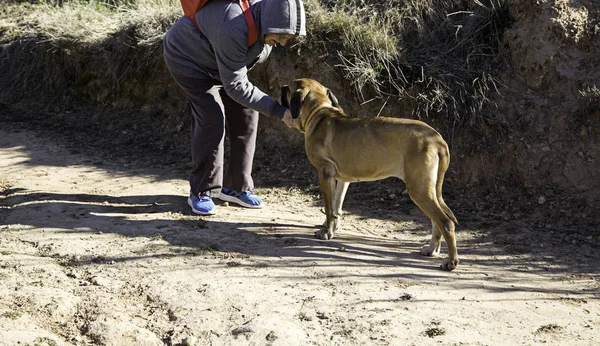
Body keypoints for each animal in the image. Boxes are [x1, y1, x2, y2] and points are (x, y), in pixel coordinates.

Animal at [282, 77, 460, 270]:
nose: (282, 86)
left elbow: (329, 208)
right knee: (438, 220)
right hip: (430, 189)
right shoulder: (343, 179)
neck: (319, 112)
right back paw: (431, 249)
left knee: (446, 222)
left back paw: (451, 261)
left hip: (419, 189)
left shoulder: (325, 173)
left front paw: (326, 231)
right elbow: (337, 205)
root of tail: (438, 140)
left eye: (289, 88)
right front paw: (333, 226)